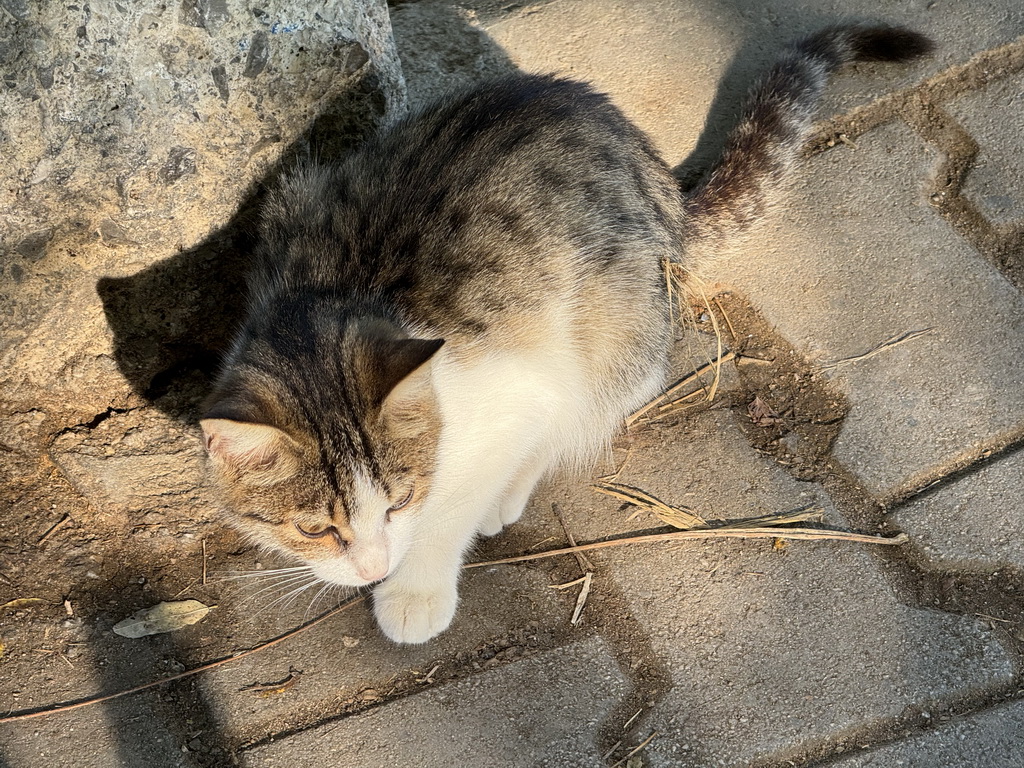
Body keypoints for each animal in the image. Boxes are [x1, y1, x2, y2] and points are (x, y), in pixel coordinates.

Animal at [201, 22, 937, 643]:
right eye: (315, 528)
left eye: (398, 501)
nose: (374, 568)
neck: (342, 295)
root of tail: (663, 187)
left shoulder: (513, 387)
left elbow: (461, 495)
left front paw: (415, 587)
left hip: (614, 324)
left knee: (587, 406)